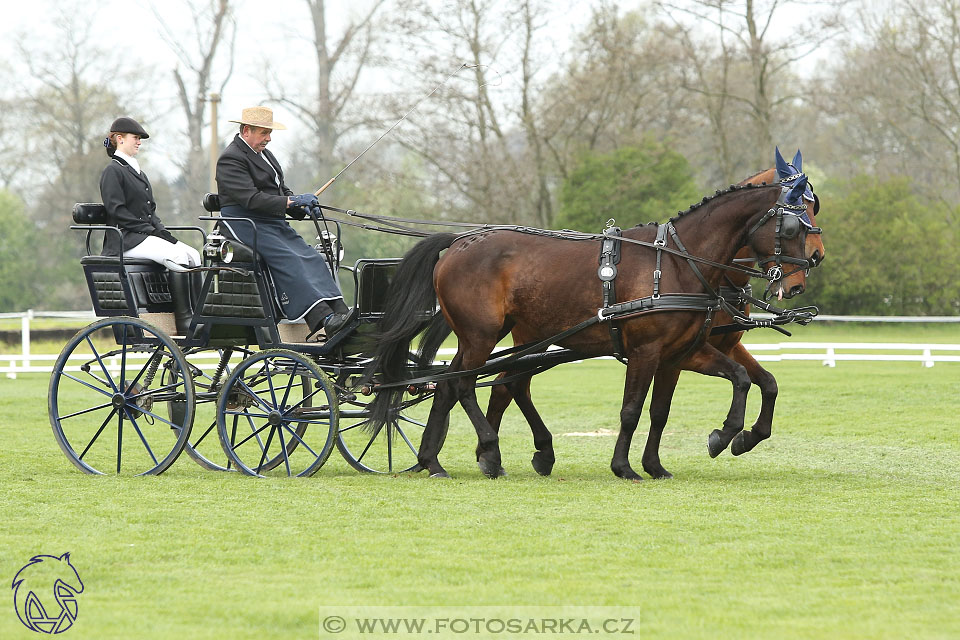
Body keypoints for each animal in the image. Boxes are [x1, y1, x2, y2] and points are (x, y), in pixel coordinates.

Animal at [372, 178, 812, 478]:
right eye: (793, 228)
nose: (798, 281)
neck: (676, 262)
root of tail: (460, 242)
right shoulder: (646, 351)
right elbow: (632, 410)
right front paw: (624, 467)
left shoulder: (680, 354)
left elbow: (693, 398)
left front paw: (715, 441)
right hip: (483, 334)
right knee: (466, 384)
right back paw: (491, 453)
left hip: (498, 335)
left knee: (464, 383)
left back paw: (435, 461)